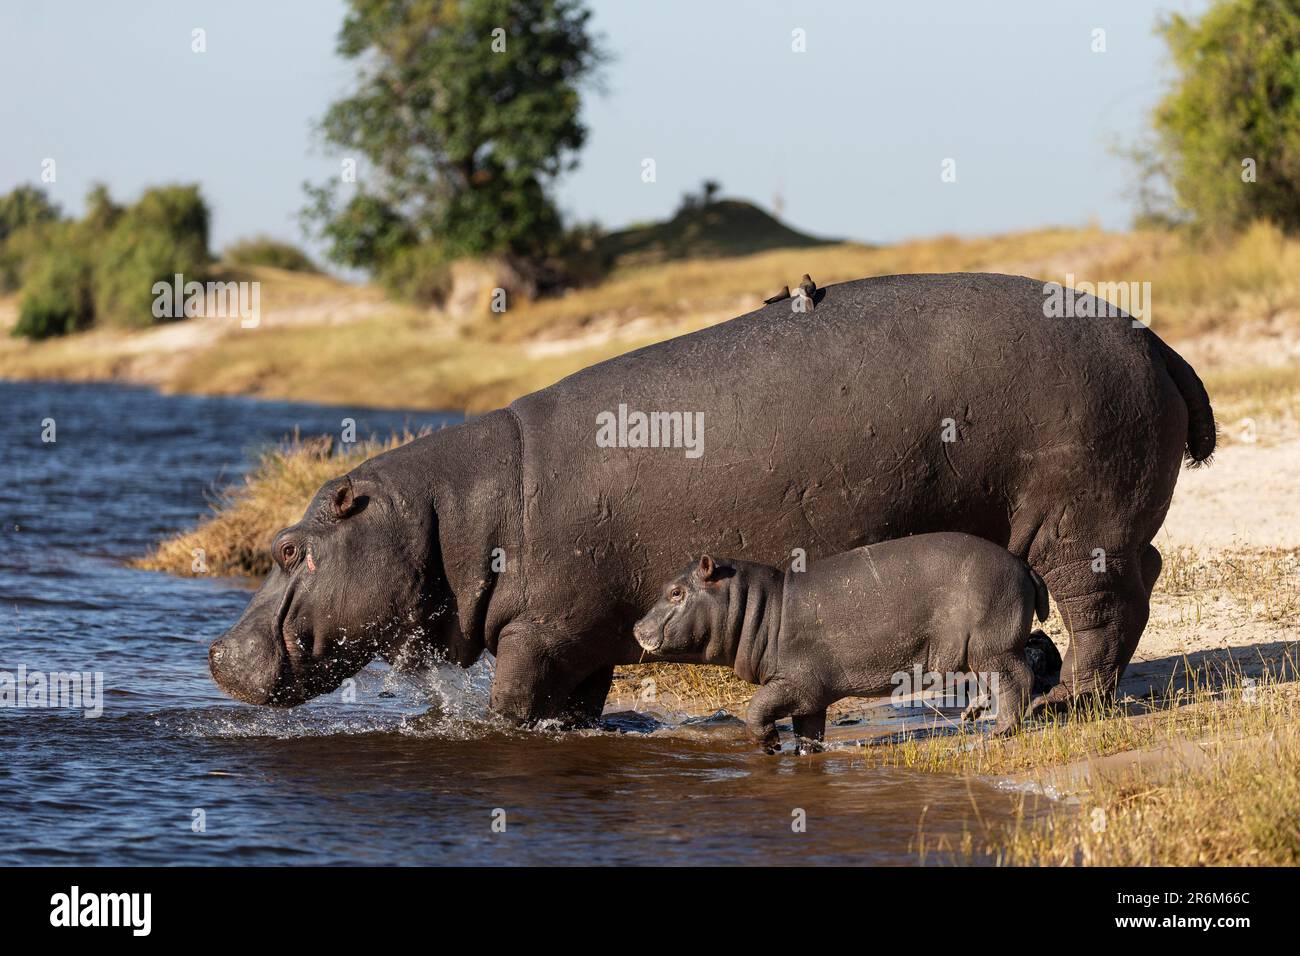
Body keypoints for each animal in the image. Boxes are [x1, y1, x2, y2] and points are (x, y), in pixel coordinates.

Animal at [634, 535, 1050, 749]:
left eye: (675, 592)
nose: (637, 627)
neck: (762, 607)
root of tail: (1024, 564)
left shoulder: (794, 682)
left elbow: (756, 709)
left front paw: (770, 743)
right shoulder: (810, 697)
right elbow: (809, 731)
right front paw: (804, 754)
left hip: (991, 647)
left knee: (1016, 678)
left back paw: (1001, 730)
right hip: (986, 648)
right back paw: (978, 716)